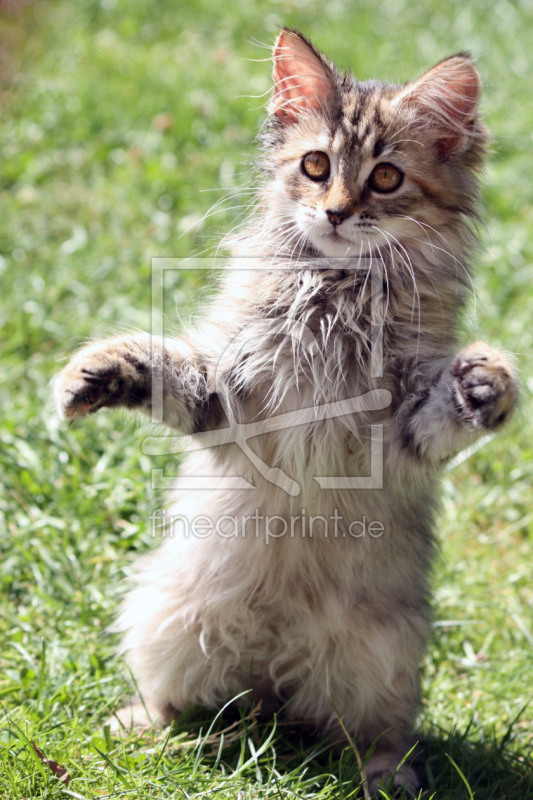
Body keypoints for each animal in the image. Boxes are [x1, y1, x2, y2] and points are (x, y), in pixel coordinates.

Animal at [55, 28, 516, 796]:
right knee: (180, 703)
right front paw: (90, 374)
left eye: (385, 179)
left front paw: (486, 384)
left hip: (384, 660)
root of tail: (275, 676)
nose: (335, 212)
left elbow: (440, 414)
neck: (332, 292)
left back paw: (386, 775)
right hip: (166, 617)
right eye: (315, 166)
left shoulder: (395, 429)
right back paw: (141, 728)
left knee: (376, 734)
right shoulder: (226, 393)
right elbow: (160, 365)